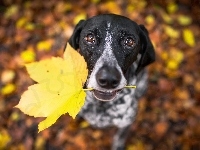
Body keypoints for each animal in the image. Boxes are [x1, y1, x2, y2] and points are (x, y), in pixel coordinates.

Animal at [68, 13, 155, 149]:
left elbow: (119, 137)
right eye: (90, 38)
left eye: (129, 41)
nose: (108, 79)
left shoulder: (126, 122)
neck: (101, 105)